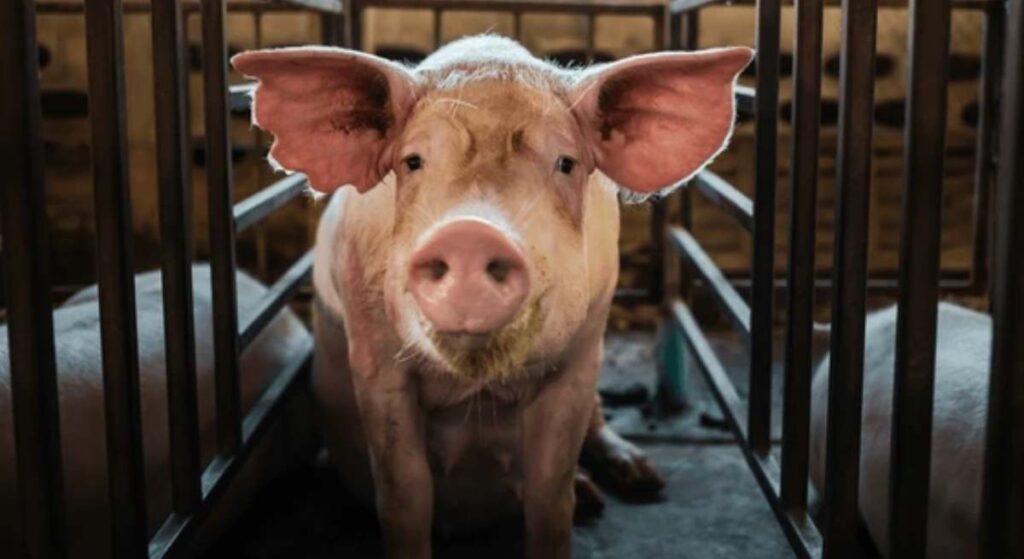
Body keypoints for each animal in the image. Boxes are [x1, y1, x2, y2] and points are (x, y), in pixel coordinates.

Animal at [232, 34, 752, 557]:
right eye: (413, 161)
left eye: (566, 163)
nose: (470, 234)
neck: (475, 388)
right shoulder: (374, 355)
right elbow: (405, 494)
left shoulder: (581, 352)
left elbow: (550, 495)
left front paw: (579, 498)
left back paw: (635, 483)